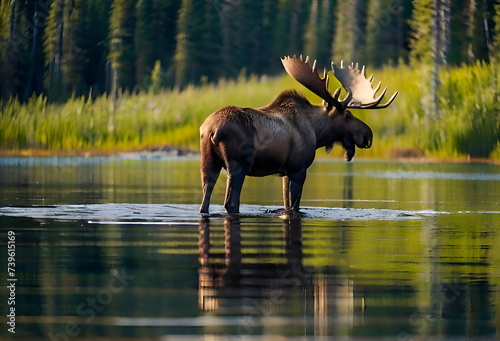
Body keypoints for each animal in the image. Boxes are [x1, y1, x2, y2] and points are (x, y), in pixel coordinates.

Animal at [199, 56, 398, 214]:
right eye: (347, 116)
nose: (368, 135)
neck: (317, 133)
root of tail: (212, 130)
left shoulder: (285, 171)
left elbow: (287, 204)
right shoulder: (298, 169)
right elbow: (294, 206)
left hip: (209, 162)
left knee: (205, 201)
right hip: (239, 164)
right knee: (231, 203)